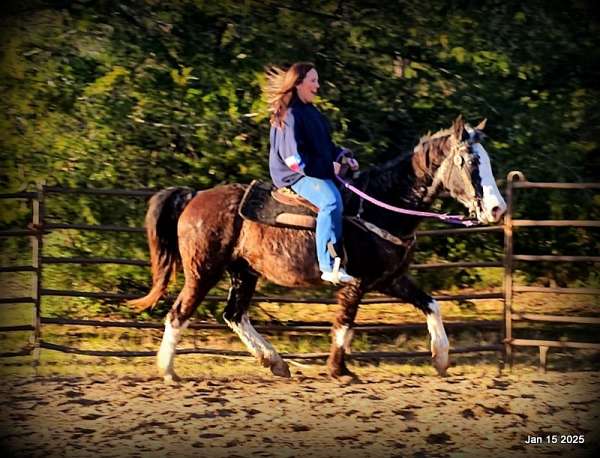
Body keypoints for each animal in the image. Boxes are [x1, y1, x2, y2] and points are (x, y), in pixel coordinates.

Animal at [130, 115, 506, 382]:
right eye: (471, 162)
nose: (498, 209)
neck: (379, 206)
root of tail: (195, 196)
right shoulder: (355, 283)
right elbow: (344, 323)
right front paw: (339, 370)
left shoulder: (390, 279)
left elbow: (431, 305)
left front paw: (441, 357)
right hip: (203, 271)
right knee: (179, 312)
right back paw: (167, 371)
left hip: (243, 273)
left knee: (234, 315)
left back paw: (275, 363)